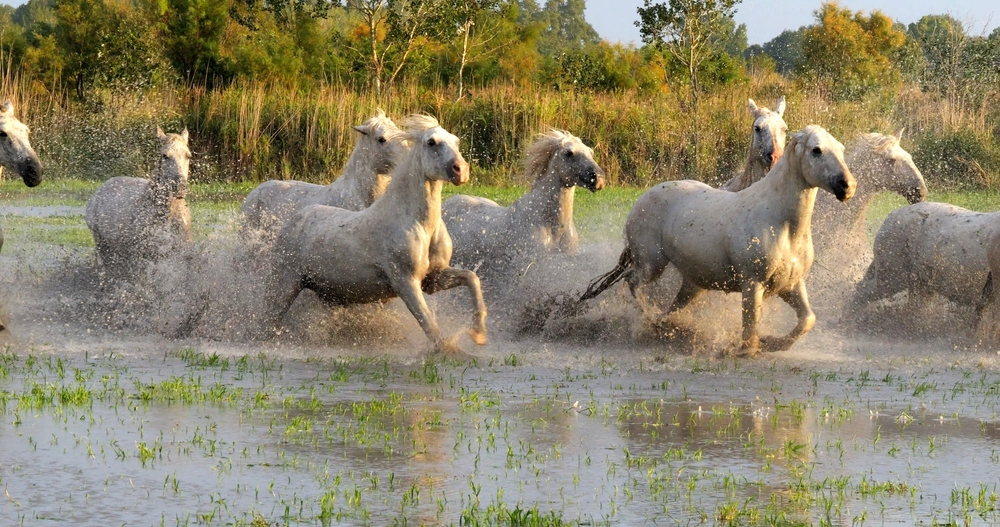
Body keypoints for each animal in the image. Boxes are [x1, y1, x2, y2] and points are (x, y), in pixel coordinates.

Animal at [263, 115, 487, 355]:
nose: (460, 170)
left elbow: (471, 278)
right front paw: (450, 350)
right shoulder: (405, 282)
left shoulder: (433, 279)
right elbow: (429, 324)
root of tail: (296, 218)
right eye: (431, 142)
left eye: (456, 141)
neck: (417, 223)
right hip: (284, 285)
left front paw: (478, 334)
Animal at [581, 125, 855, 355]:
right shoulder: (752, 283)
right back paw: (650, 319)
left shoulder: (790, 284)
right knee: (633, 282)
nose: (847, 186)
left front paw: (772, 343)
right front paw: (746, 350)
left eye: (841, 149)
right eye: (816, 150)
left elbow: (807, 319)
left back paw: (665, 326)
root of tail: (642, 199)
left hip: (694, 283)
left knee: (671, 306)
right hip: (651, 263)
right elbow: (750, 324)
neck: (782, 225)